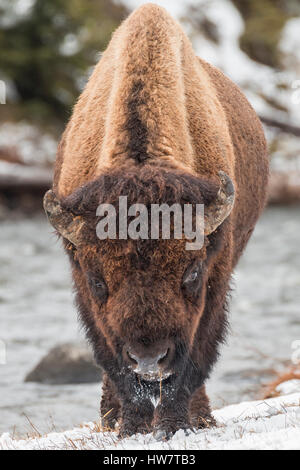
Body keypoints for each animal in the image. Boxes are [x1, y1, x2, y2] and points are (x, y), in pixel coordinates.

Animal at [42, 3, 270, 438]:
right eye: (98, 281)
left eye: (192, 274)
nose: (148, 359)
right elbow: (114, 365)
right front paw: (130, 426)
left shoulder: (216, 281)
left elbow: (192, 362)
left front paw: (177, 425)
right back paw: (111, 416)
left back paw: (200, 416)